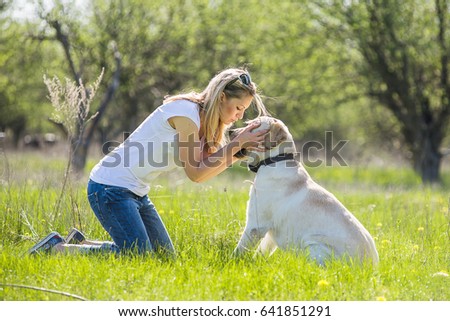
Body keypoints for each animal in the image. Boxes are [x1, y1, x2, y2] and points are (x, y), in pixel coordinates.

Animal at [234, 116, 378, 264]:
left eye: (253, 125)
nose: (230, 131)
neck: (274, 161)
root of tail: (370, 266)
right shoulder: (268, 233)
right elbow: (261, 251)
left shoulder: (256, 225)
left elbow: (239, 249)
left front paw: (233, 261)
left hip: (313, 244)